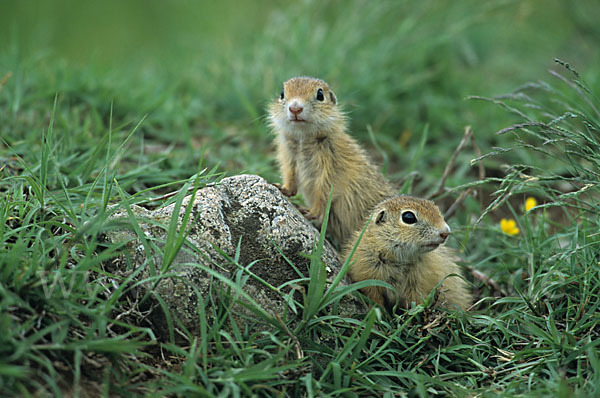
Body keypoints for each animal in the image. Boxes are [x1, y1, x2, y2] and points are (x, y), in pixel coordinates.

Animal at [270, 76, 396, 246]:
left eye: (320, 94)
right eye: (282, 94)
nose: (295, 108)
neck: (304, 138)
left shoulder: (334, 162)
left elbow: (326, 189)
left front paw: (310, 211)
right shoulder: (288, 153)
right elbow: (290, 173)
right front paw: (282, 188)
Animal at [344, 197, 472, 312]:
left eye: (437, 209)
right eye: (408, 217)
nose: (445, 232)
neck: (399, 259)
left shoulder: (419, 285)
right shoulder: (367, 274)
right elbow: (373, 296)